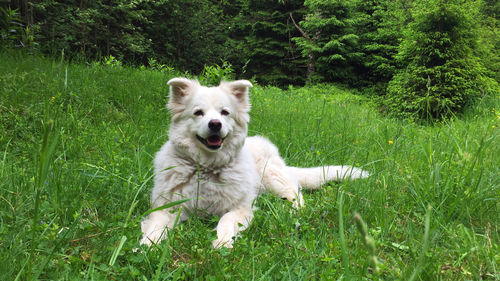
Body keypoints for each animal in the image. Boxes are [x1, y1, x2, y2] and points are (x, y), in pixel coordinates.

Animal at [139, 77, 370, 247]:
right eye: (198, 113)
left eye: (225, 112)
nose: (215, 124)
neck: (206, 168)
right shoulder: (166, 208)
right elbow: (155, 228)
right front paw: (145, 247)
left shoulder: (241, 208)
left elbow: (225, 220)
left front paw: (223, 243)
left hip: (272, 177)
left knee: (296, 195)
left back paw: (291, 211)